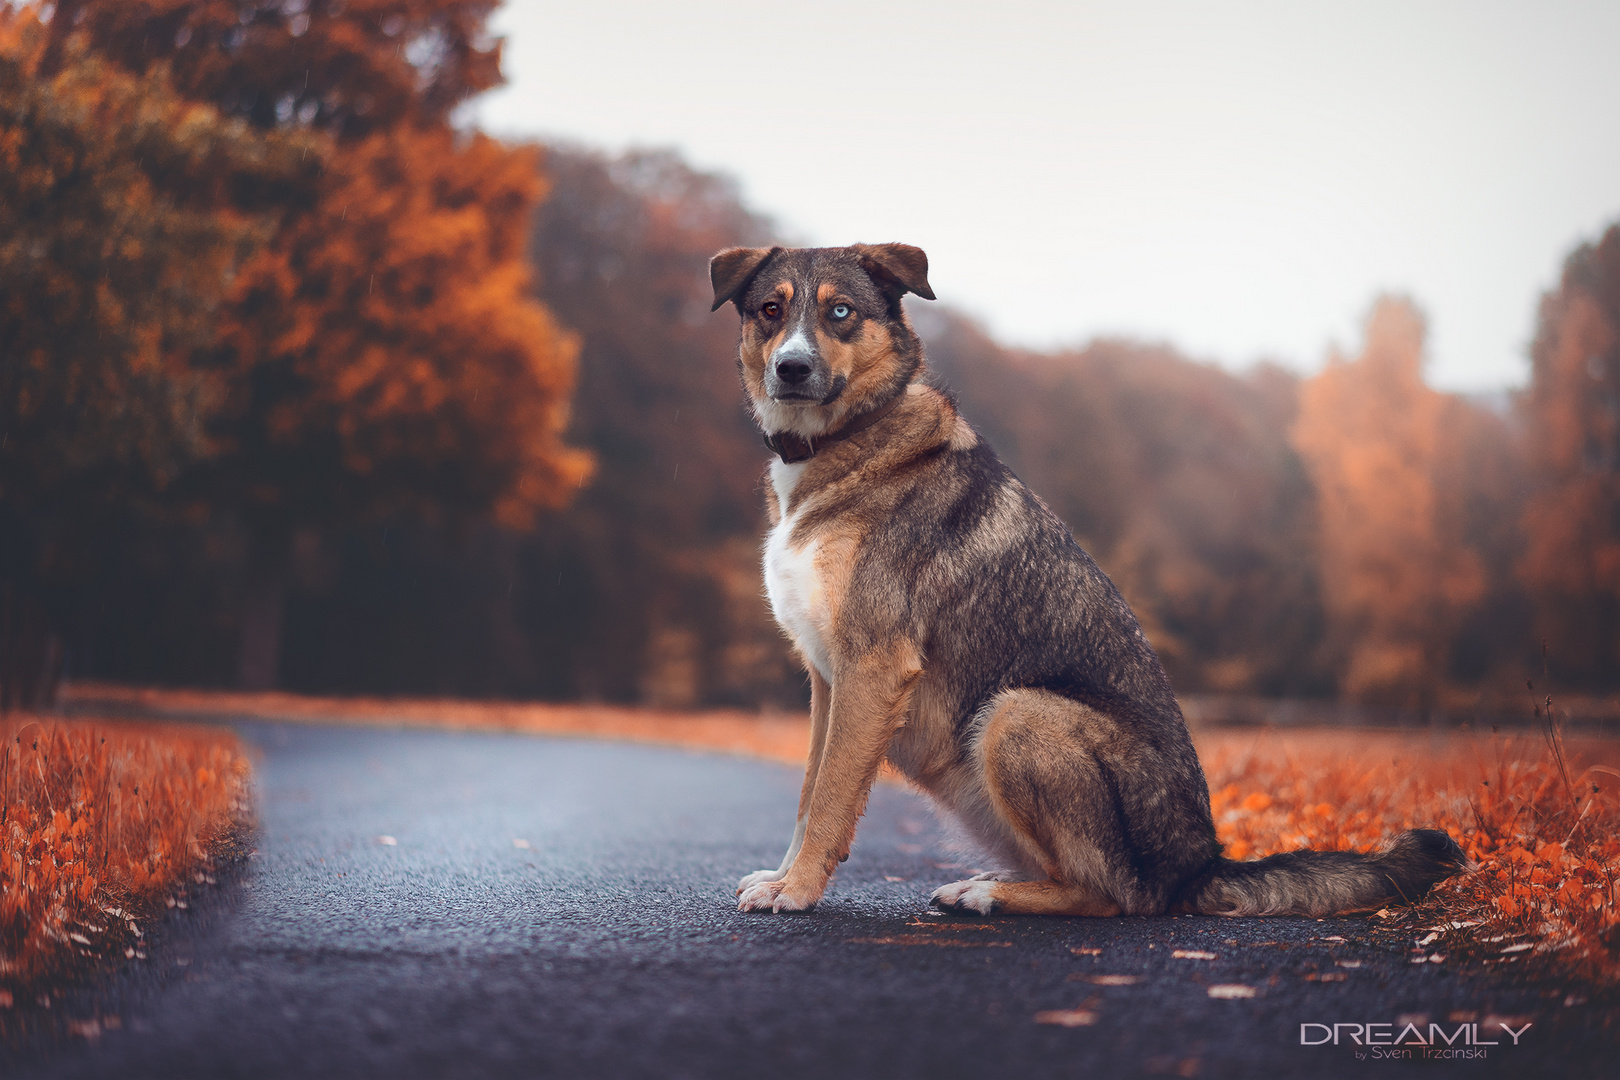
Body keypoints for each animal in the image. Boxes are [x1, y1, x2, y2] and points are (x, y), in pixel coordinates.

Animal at [709, 241, 1470, 919]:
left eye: (839, 312)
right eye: (771, 310)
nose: (792, 368)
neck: (844, 443)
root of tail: (1201, 866)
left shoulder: (871, 668)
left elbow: (831, 797)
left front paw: (797, 892)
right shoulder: (827, 678)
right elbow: (809, 792)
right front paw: (785, 878)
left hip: (1018, 714)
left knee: (1115, 895)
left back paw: (993, 895)